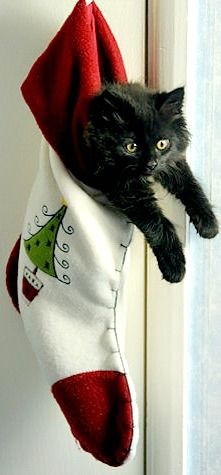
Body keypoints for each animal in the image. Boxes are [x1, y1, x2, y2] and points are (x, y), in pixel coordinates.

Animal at [78, 82, 218, 282]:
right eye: (131, 147)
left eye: (162, 144)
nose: (152, 163)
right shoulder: (126, 189)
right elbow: (158, 224)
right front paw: (174, 266)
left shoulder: (172, 162)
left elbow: (191, 187)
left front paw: (208, 224)